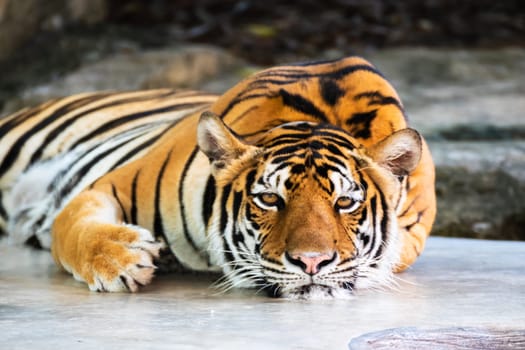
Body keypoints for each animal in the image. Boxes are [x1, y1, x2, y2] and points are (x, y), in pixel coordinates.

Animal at [0, 56, 434, 300]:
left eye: (345, 202)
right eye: (270, 199)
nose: (311, 262)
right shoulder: (108, 184)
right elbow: (72, 226)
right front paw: (122, 259)